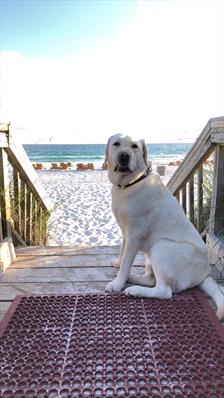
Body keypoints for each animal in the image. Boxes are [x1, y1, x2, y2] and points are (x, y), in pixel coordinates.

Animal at [104, 134, 224, 320]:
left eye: (134, 146)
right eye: (116, 144)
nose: (124, 156)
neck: (130, 184)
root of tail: (204, 275)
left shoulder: (134, 234)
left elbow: (127, 261)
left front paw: (117, 283)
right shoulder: (125, 232)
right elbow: (122, 254)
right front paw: (117, 265)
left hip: (161, 246)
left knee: (164, 291)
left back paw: (135, 290)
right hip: (150, 256)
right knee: (151, 280)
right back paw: (133, 279)